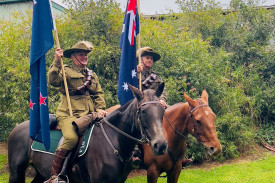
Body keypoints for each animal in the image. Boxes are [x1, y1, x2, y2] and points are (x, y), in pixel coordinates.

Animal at [7, 84, 168, 183]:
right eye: (143, 111)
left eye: (162, 110)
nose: (160, 145)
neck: (113, 141)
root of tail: (16, 129)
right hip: (16, 172)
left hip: (40, 173)